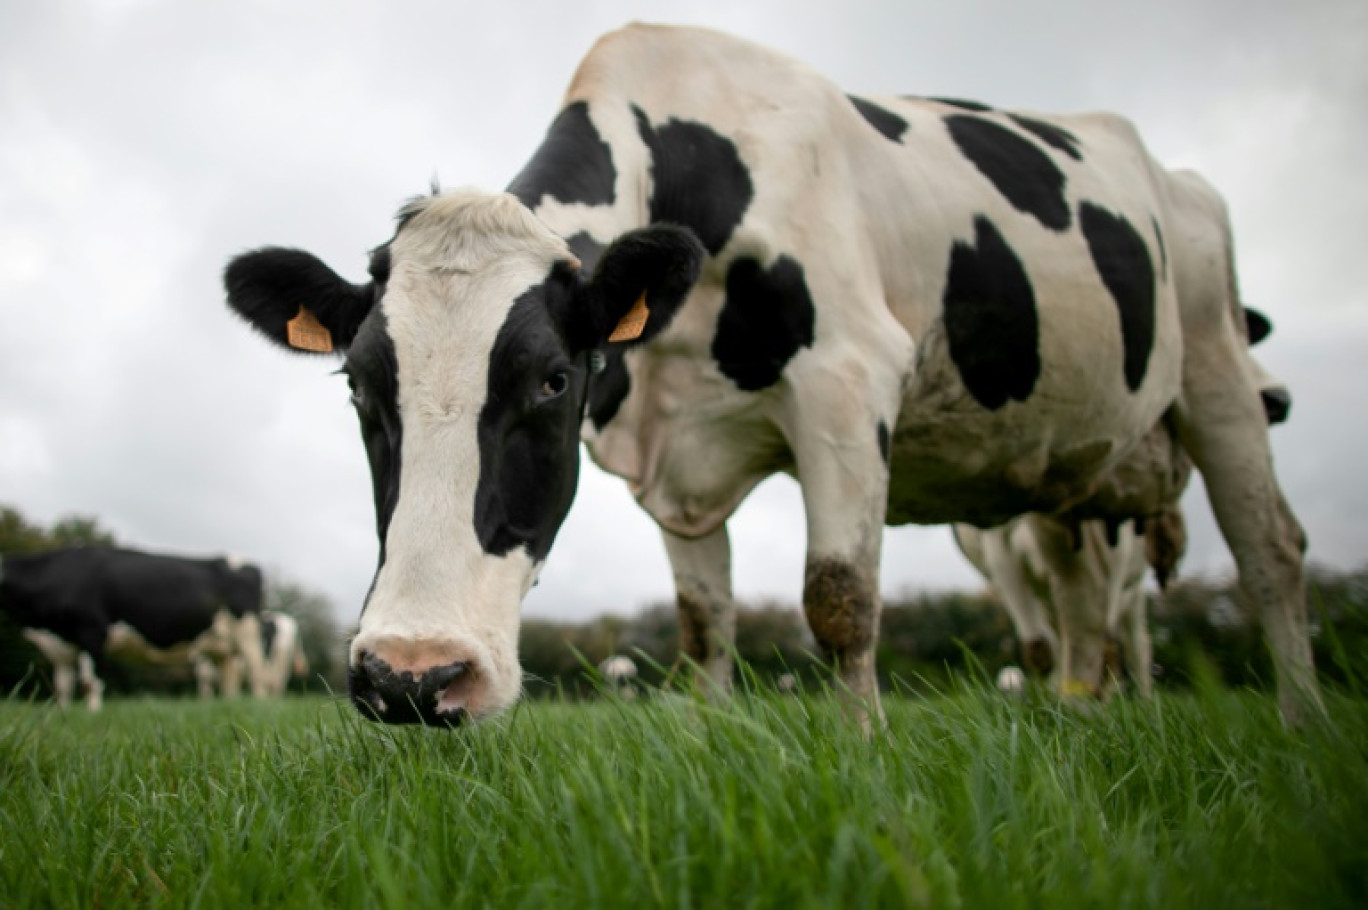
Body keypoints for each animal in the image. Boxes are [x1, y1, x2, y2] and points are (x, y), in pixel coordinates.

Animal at [0, 541, 269, 706]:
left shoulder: (92, 630)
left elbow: (89, 682)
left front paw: (92, 716)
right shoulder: (62, 646)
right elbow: (62, 686)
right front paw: (64, 716)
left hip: (246, 633)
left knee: (256, 671)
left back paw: (258, 704)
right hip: (220, 645)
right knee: (228, 680)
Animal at [227, 24, 1324, 728]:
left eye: (550, 381)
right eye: (362, 389)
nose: (412, 678)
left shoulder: (848, 382)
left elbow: (840, 599)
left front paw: (861, 755)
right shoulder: (675, 454)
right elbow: (703, 625)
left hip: (1216, 366)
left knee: (1269, 547)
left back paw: (1301, 724)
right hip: (1068, 488)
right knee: (1085, 608)